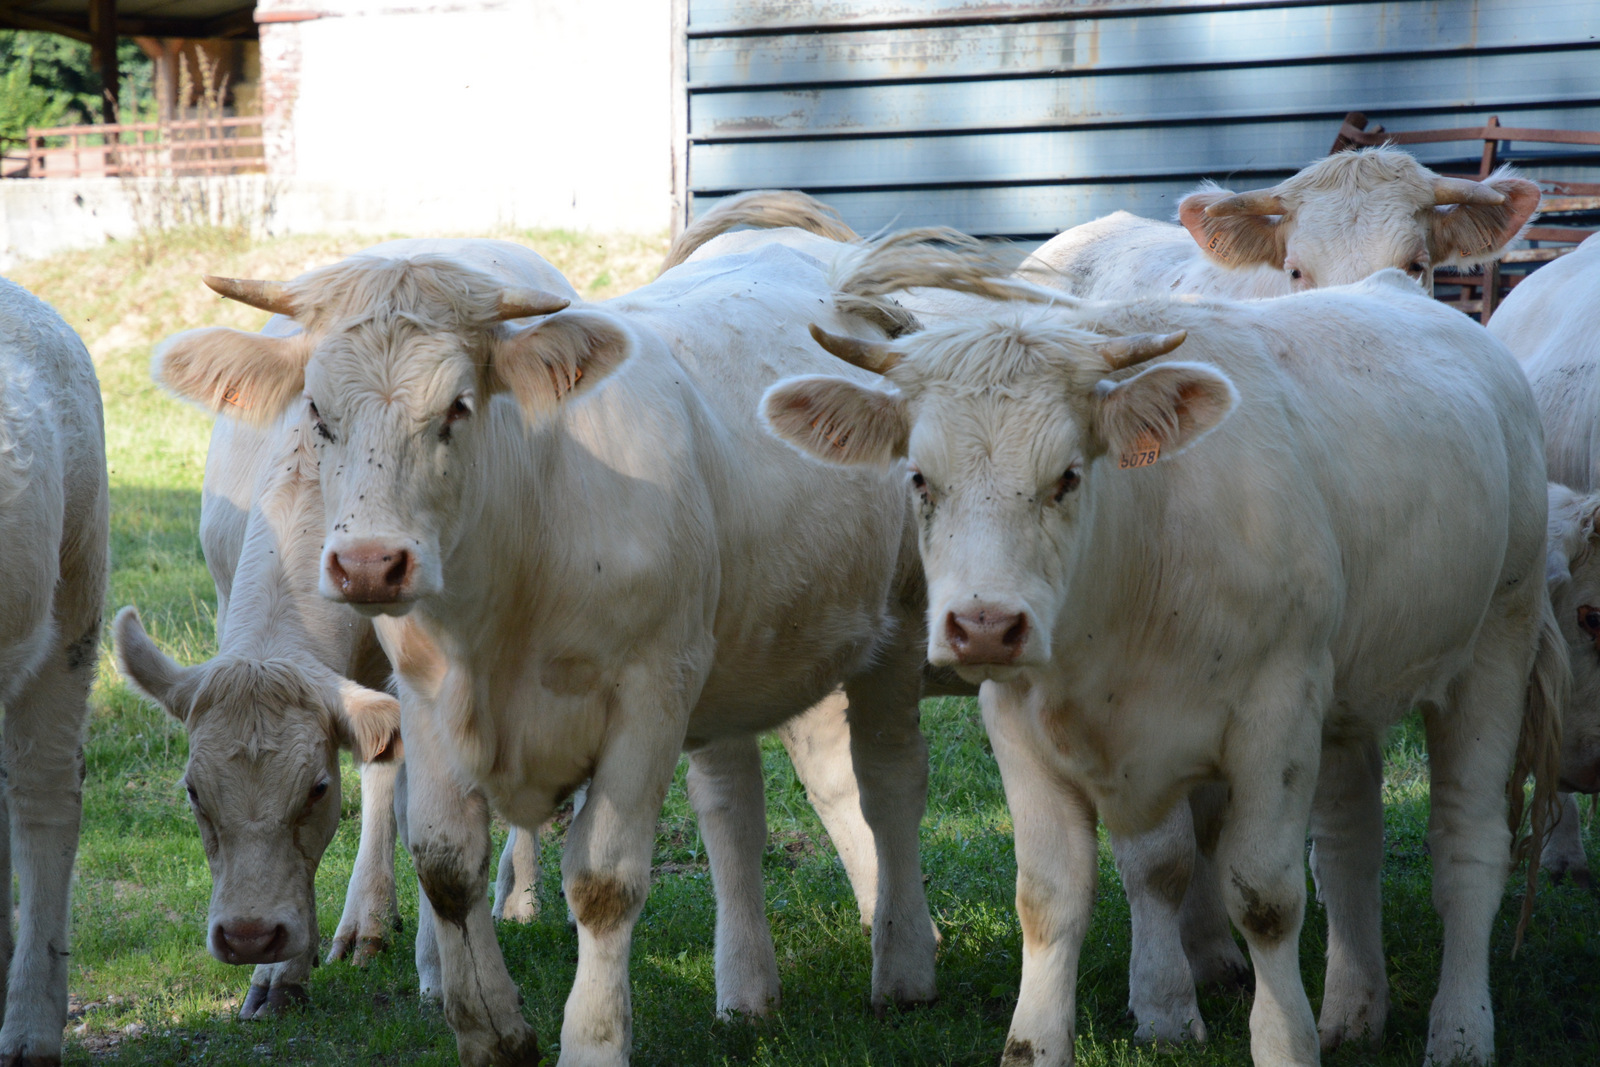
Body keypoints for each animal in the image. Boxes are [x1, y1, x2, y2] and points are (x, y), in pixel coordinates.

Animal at [144, 218, 943, 1065]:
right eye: (320, 414)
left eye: (458, 407)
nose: (368, 562)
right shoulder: (422, 691)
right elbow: (441, 858)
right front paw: (487, 1024)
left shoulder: (650, 692)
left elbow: (604, 880)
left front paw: (587, 1038)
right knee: (740, 802)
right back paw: (751, 988)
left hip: (891, 623)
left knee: (884, 779)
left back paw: (902, 957)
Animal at [762, 251, 1563, 1067]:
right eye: (920, 478)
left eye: (1068, 475)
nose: (985, 626)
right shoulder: (1019, 726)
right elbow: (1051, 896)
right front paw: (1038, 1039)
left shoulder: (1277, 714)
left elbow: (1266, 898)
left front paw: (1284, 1040)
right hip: (1351, 695)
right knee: (1349, 847)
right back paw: (1353, 1008)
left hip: (1500, 636)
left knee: (1468, 844)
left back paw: (1461, 1028)